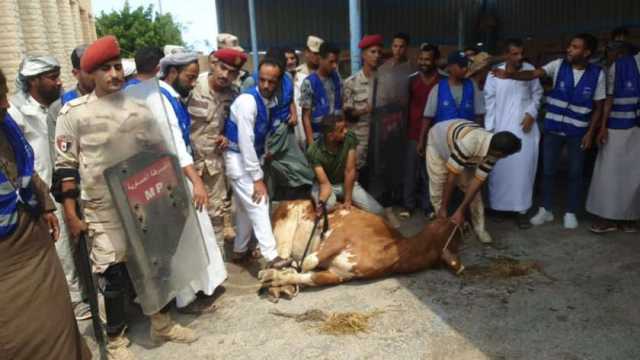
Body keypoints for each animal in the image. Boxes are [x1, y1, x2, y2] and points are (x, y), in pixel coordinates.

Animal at [260, 200, 464, 298]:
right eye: (452, 228)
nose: (464, 224)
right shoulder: (340, 234)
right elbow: (308, 262)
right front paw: (275, 276)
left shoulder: (341, 274)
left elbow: (311, 276)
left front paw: (278, 278)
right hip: (285, 225)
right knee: (282, 255)